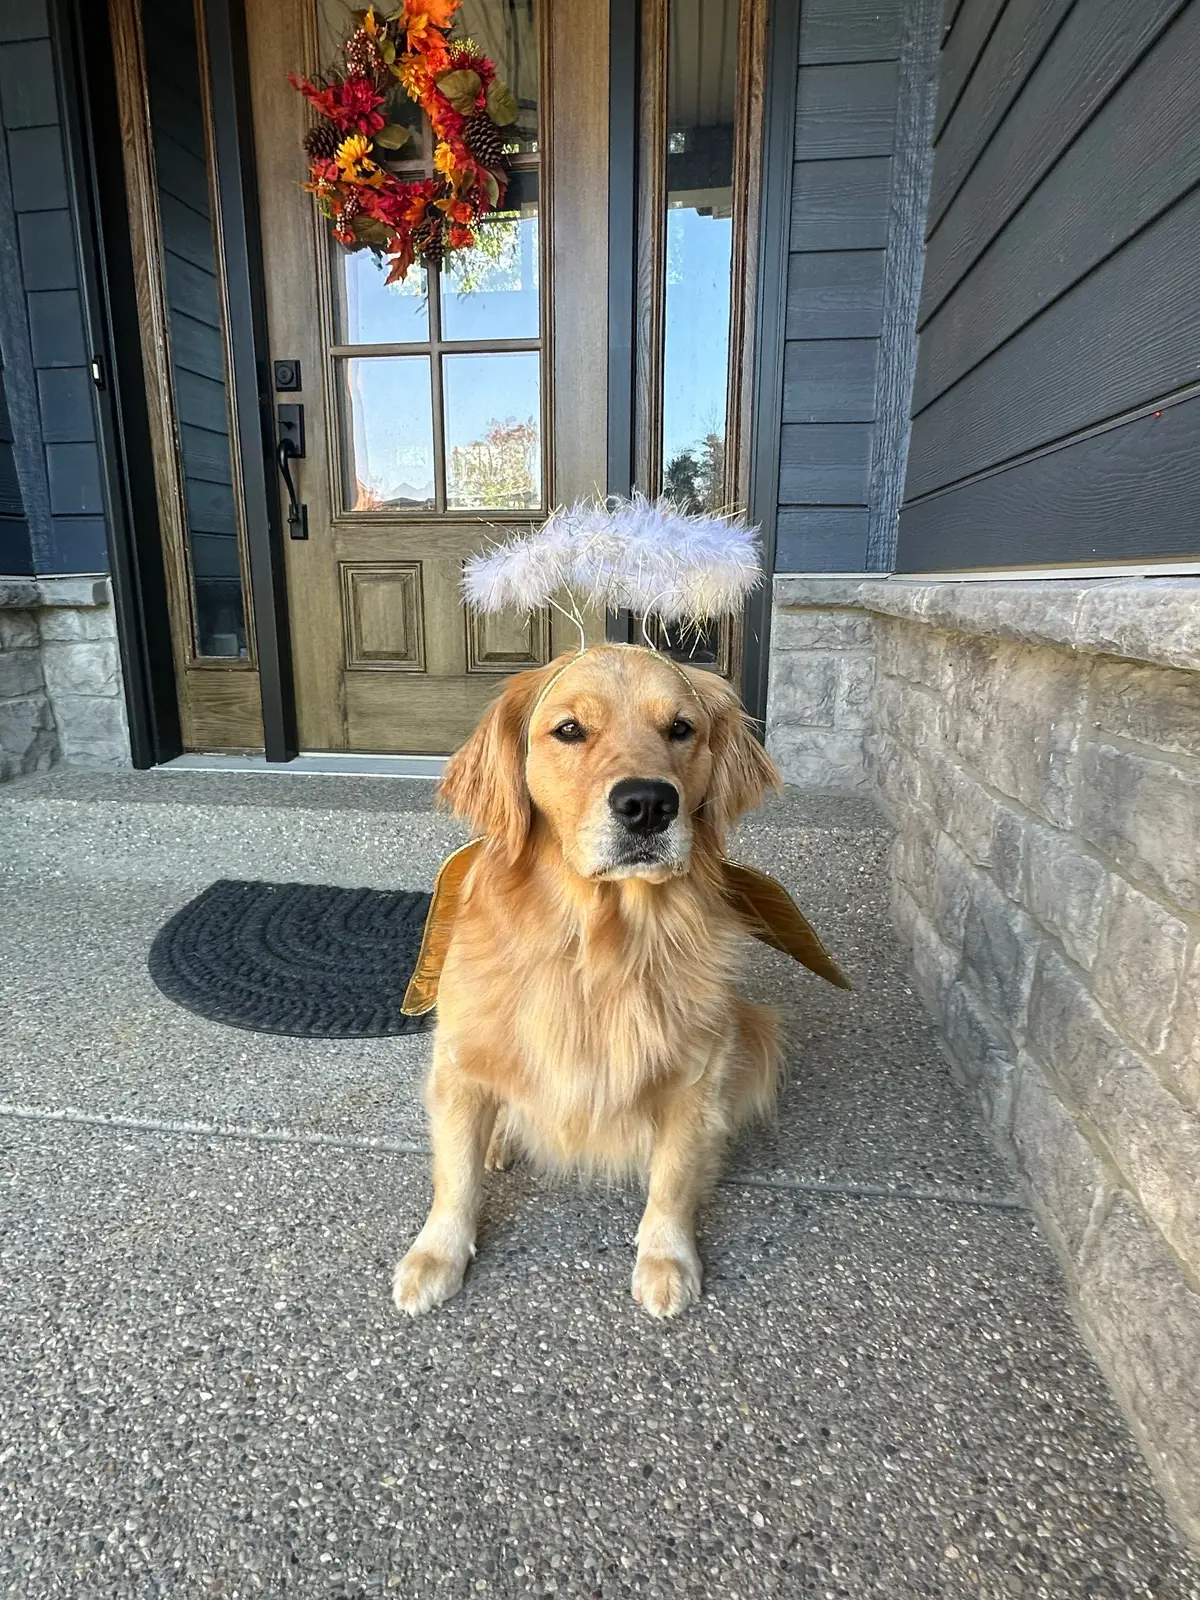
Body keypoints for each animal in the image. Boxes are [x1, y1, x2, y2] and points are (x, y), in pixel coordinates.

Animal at [396, 643, 790, 1318]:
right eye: (569, 730)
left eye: (680, 728)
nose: (648, 804)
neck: (597, 945)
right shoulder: (459, 1061)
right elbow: (454, 1174)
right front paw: (437, 1253)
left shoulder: (698, 1072)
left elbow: (674, 1175)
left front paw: (666, 1258)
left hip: (755, 1031)